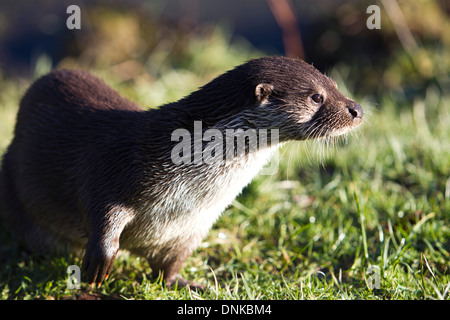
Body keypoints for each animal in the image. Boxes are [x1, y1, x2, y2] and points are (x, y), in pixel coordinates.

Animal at [0, 56, 362, 288]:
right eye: (316, 97)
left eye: (335, 84)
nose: (356, 109)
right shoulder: (115, 169)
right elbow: (100, 210)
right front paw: (97, 266)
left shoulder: (191, 228)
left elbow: (169, 268)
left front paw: (192, 285)